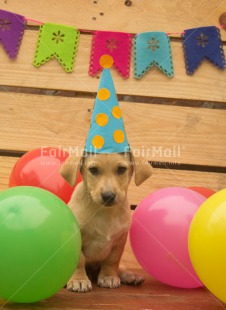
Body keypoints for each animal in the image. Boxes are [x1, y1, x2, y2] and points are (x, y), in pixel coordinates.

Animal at [59, 153, 152, 294]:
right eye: (93, 170)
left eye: (121, 169)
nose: (108, 196)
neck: (105, 212)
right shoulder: (75, 237)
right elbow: (79, 261)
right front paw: (79, 280)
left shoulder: (119, 241)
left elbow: (112, 261)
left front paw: (109, 277)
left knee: (120, 267)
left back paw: (130, 276)